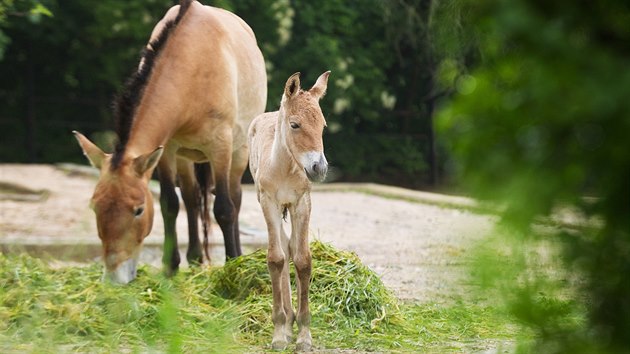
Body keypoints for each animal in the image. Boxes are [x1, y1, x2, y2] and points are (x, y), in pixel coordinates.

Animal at [73, 0, 268, 284]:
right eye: (94, 206)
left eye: (139, 210)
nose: (114, 278)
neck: (194, 64)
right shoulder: (166, 151)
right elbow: (170, 203)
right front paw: (170, 267)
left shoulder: (220, 147)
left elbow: (223, 208)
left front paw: (233, 265)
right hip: (185, 157)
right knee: (191, 198)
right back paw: (195, 258)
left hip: (239, 151)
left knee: (235, 197)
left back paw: (237, 255)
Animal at [249, 70, 334, 350]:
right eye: (295, 125)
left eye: (323, 126)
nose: (319, 168)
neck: (284, 167)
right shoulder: (269, 202)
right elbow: (276, 259)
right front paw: (279, 332)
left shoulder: (302, 203)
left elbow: (303, 260)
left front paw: (304, 335)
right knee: (283, 251)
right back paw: (286, 324)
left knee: (291, 248)